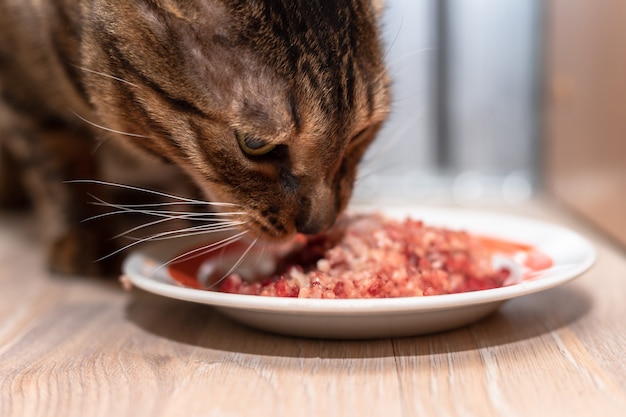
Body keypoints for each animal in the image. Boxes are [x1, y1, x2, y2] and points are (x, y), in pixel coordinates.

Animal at [0, 0, 390, 276]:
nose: (318, 227)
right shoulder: (24, 99)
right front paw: (83, 239)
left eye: (358, 133)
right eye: (255, 144)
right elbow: (59, 172)